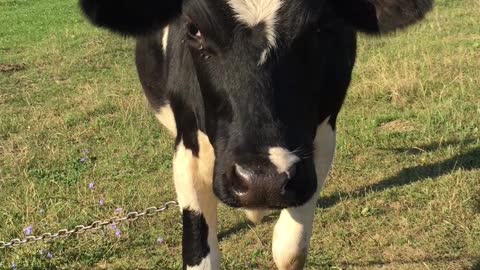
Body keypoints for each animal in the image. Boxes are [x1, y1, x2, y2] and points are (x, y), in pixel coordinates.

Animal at [79, 0, 436, 268]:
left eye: (322, 26)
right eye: (193, 28)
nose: (262, 180)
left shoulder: (321, 137)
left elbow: (290, 250)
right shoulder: (189, 147)